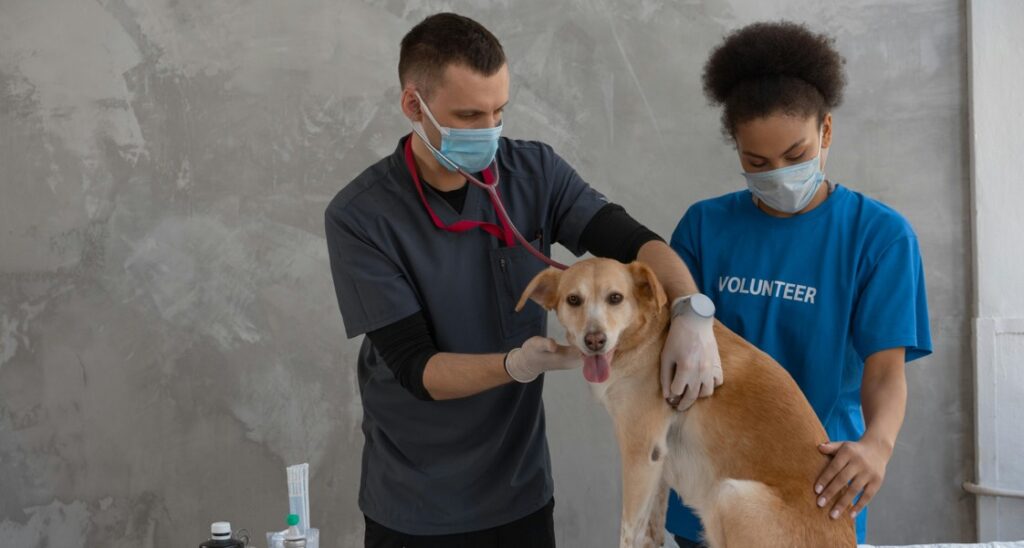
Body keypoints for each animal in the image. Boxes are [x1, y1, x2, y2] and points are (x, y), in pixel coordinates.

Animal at [512, 258, 856, 548]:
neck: (646, 337)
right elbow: (650, 533)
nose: (594, 340)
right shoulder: (659, 461)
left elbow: (628, 531)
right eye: (573, 300)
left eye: (615, 298)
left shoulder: (641, 453)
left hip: (730, 495)